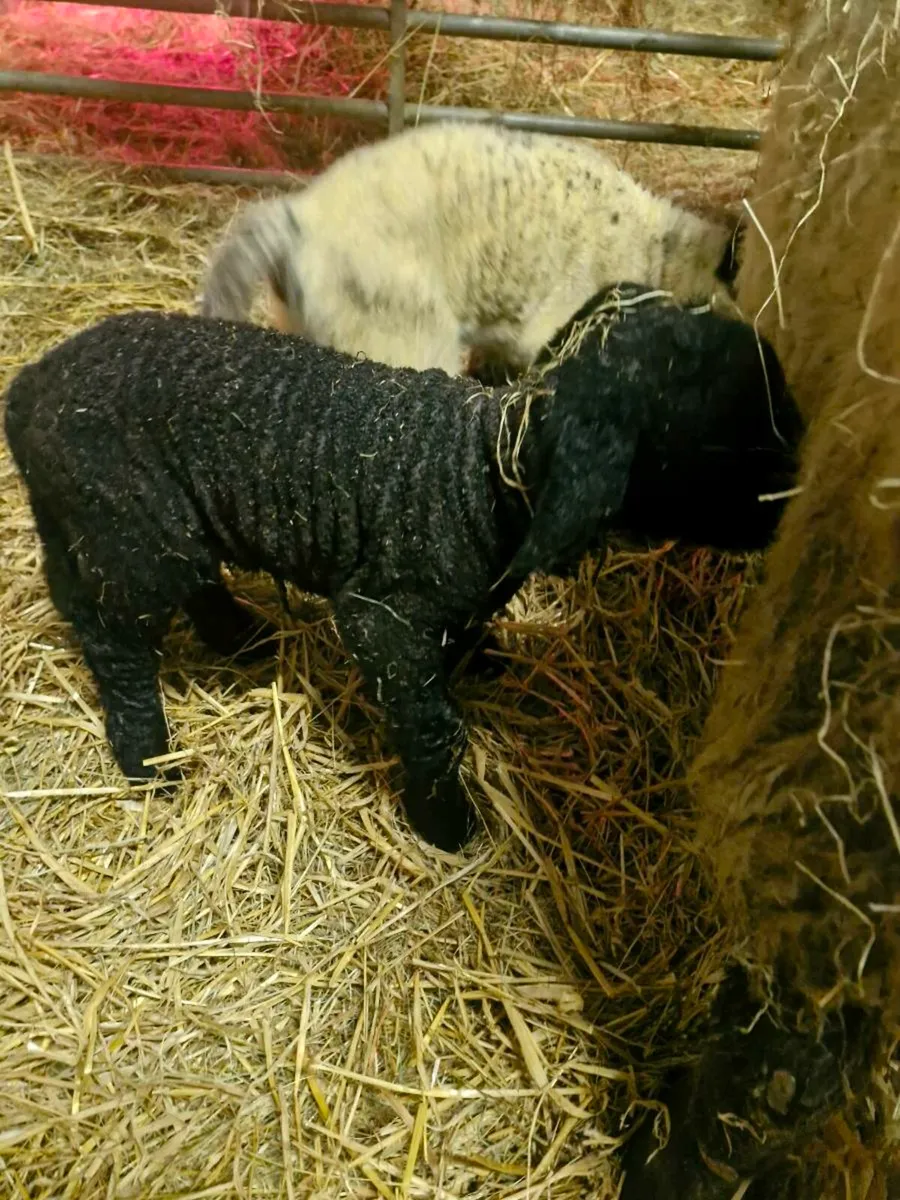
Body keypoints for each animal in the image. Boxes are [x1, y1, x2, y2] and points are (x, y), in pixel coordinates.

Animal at [3, 285, 802, 855]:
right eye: (720, 443)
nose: (793, 496)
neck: (482, 474)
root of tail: (29, 386)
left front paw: (482, 662)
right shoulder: (381, 617)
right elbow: (430, 722)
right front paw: (446, 825)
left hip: (107, 524)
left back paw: (241, 638)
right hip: (132, 532)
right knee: (114, 639)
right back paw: (147, 756)